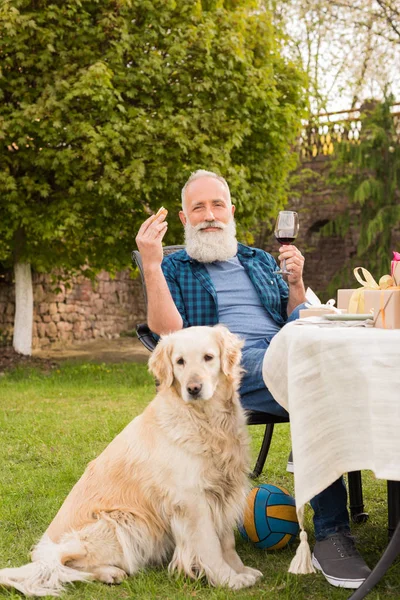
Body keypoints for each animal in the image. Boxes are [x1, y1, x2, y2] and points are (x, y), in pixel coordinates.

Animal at [0, 326, 262, 596]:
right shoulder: (191, 500)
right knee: (65, 563)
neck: (207, 421)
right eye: (180, 361)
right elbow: (210, 545)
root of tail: (44, 552)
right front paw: (227, 580)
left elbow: (227, 542)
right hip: (124, 521)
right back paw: (109, 572)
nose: (193, 388)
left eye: (208, 357)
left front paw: (240, 570)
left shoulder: (224, 488)